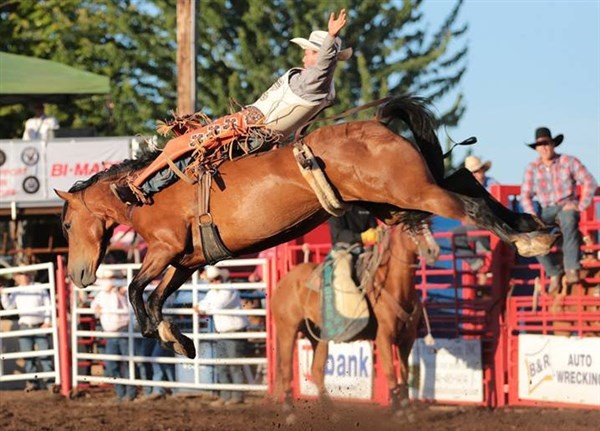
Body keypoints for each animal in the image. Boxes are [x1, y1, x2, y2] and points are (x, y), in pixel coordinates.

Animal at [55, 96, 552, 360]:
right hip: (398, 199)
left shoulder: (164, 248)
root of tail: (379, 125)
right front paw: (177, 339)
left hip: (413, 193)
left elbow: (136, 288)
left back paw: (527, 239)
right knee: (466, 180)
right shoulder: (188, 260)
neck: (144, 192)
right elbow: (158, 296)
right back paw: (537, 227)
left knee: (466, 204)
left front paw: (153, 333)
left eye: (66, 222)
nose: (78, 275)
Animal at [270, 224, 432, 414]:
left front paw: (406, 409)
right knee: (287, 369)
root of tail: (282, 282)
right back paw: (290, 411)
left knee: (316, 371)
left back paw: (331, 412)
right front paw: (398, 409)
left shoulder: (408, 338)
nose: (433, 250)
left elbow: (404, 373)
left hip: (317, 337)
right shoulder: (383, 337)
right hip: (287, 331)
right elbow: (390, 372)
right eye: (412, 230)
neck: (394, 285)